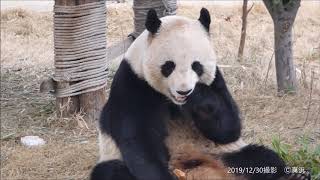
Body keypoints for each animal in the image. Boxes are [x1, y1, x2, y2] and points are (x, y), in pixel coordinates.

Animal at [90, 8, 310, 180]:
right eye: (169, 66)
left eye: (196, 65)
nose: (184, 91)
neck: (173, 102)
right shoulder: (133, 83)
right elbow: (139, 140)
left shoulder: (217, 79)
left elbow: (228, 127)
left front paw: (198, 96)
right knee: (110, 171)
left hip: (221, 153)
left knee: (262, 158)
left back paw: (294, 175)